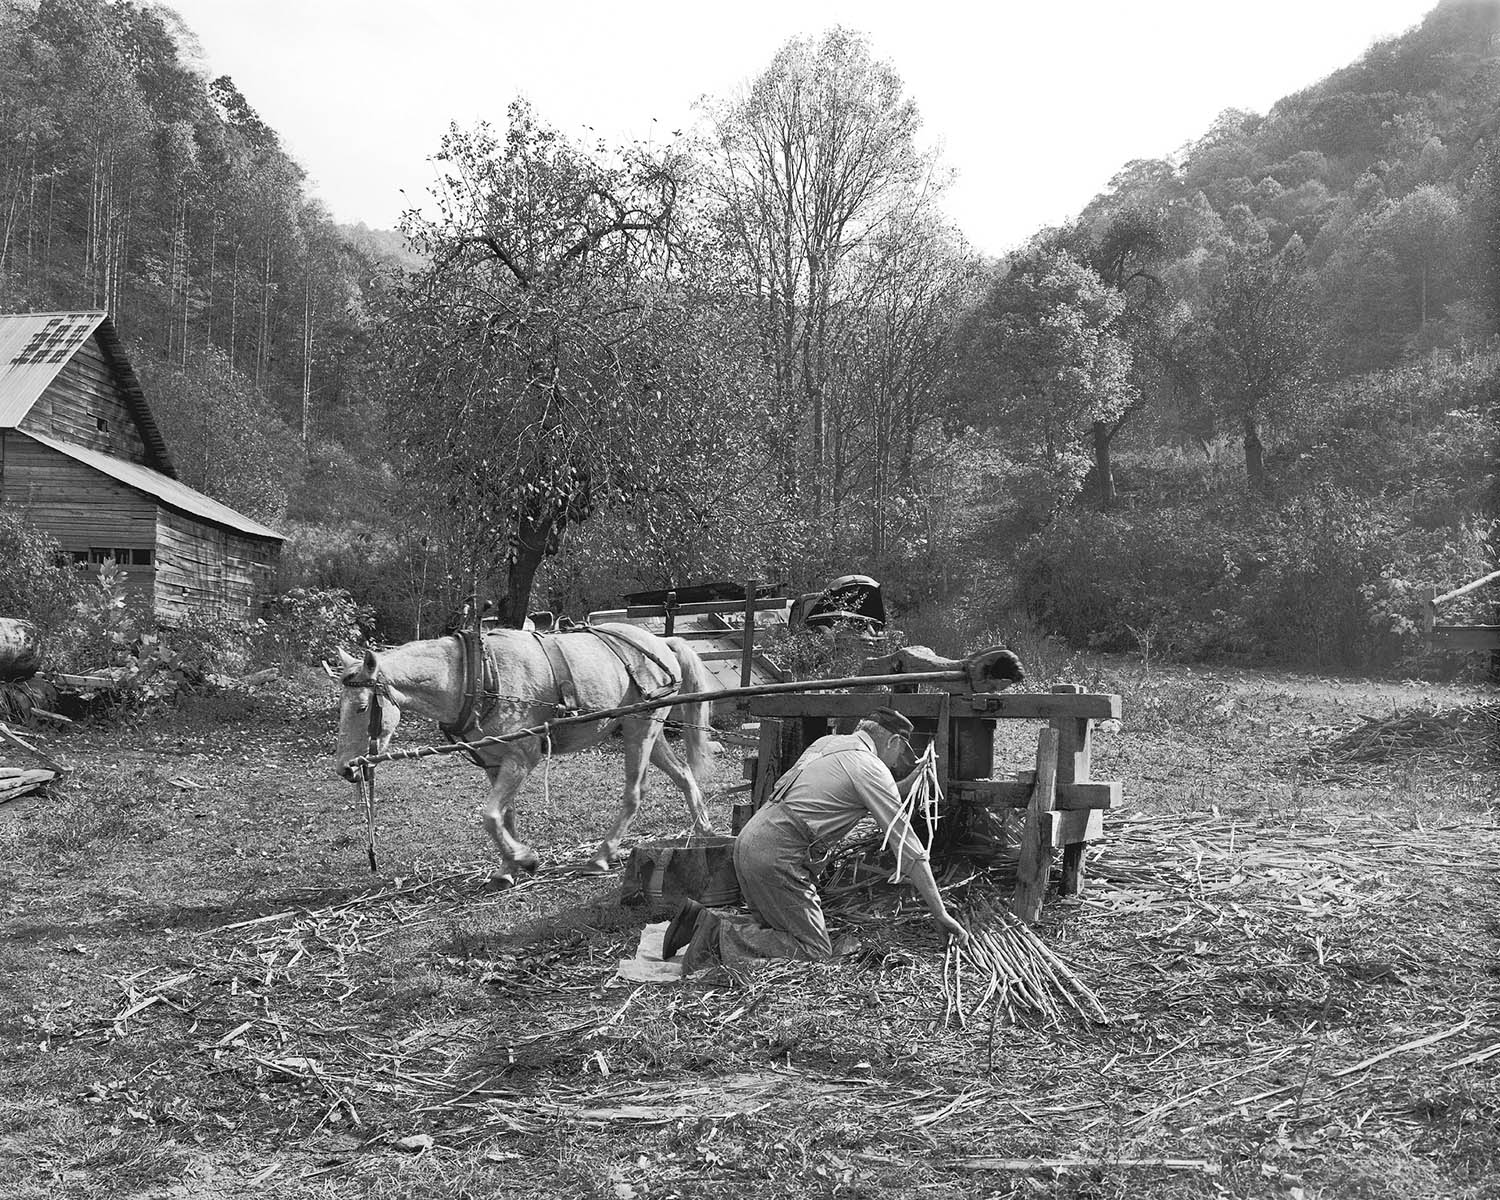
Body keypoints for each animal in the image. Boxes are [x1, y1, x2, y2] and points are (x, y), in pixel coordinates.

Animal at [334, 624, 720, 888]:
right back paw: (704, 830)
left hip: (641, 729)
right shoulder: (494, 762)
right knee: (684, 774)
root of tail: (660, 641)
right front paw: (508, 868)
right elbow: (505, 815)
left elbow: (489, 815)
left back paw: (601, 856)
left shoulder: (523, 755)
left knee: (635, 792)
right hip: (642, 728)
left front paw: (526, 858)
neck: (477, 676)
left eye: (362, 707)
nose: (346, 768)